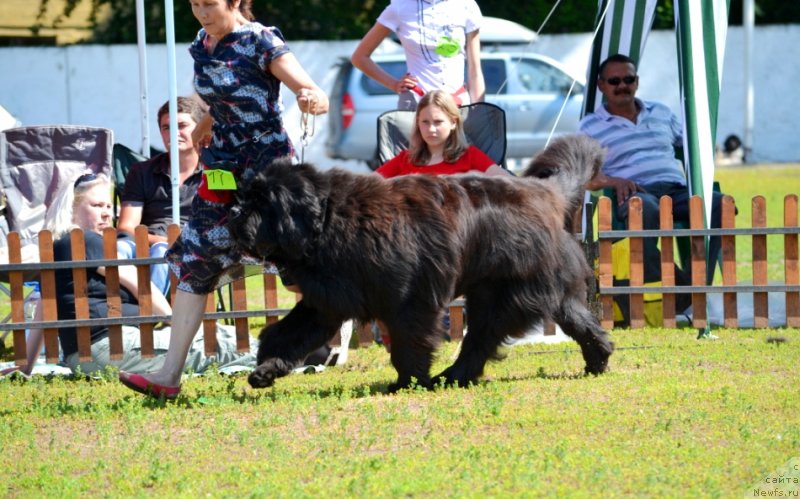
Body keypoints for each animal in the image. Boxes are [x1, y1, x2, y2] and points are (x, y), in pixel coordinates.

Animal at [228, 135, 616, 392]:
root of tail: (543, 192)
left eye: (261, 204)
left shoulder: (409, 300)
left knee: (481, 337)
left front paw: (407, 382)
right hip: (540, 289)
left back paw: (453, 376)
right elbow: (286, 333)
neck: (329, 219)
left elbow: (408, 342)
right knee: (579, 321)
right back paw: (599, 360)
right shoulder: (326, 301)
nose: (234, 217)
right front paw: (265, 370)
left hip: (504, 293)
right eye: (247, 199)